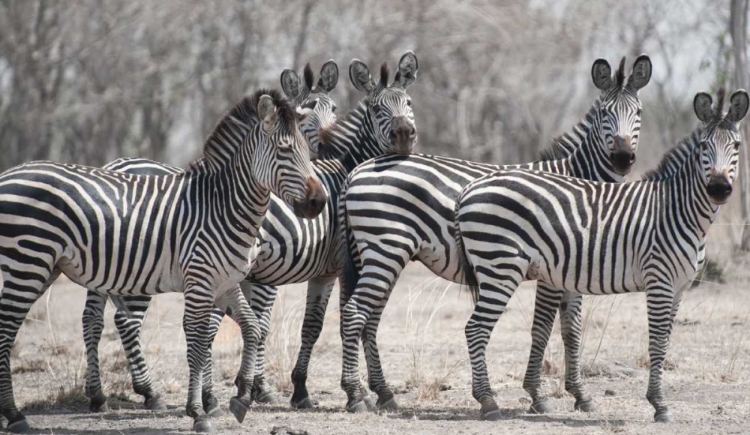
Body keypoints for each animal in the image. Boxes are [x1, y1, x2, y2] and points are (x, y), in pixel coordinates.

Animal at [0, 89, 326, 432]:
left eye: (307, 151)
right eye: (284, 150)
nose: (318, 202)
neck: (222, 205)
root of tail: (9, 174)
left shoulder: (225, 282)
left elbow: (251, 328)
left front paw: (240, 399)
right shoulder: (200, 280)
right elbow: (198, 341)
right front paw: (198, 411)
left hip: (45, 267)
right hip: (28, 263)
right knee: (7, 331)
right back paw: (15, 415)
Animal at [82, 52, 424, 416]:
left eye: (408, 102)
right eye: (376, 108)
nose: (404, 134)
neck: (341, 172)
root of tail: (116, 164)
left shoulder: (285, 273)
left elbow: (296, 325)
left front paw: (276, 387)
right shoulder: (335, 266)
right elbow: (339, 321)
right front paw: (359, 392)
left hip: (106, 265)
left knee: (93, 318)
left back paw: (99, 395)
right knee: (130, 322)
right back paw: (158, 393)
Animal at [336, 56, 652, 414]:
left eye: (639, 112)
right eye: (604, 113)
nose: (622, 159)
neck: (576, 179)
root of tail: (358, 170)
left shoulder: (572, 267)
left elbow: (571, 330)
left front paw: (580, 395)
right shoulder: (552, 269)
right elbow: (543, 327)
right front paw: (537, 395)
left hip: (377, 254)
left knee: (368, 318)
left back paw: (379, 393)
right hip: (385, 250)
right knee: (355, 313)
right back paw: (357, 395)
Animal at [456, 89, 748, 422]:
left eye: (736, 146)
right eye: (703, 146)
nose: (719, 189)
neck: (677, 209)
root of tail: (471, 187)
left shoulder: (680, 287)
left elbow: (666, 342)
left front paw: (657, 401)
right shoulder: (659, 280)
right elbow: (657, 343)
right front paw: (659, 404)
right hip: (501, 267)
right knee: (475, 329)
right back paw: (488, 402)